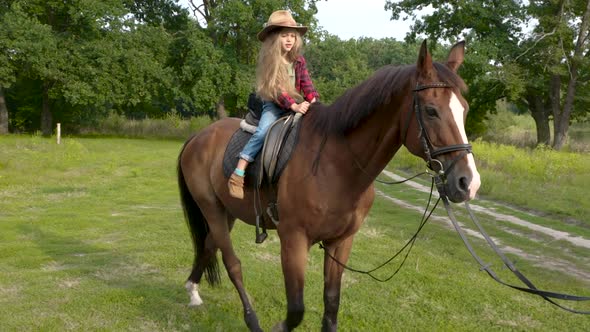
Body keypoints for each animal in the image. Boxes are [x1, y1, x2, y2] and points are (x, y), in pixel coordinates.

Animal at [176, 40, 480, 330]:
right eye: (431, 111)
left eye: (464, 111)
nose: (468, 182)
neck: (337, 164)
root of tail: (198, 137)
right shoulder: (293, 240)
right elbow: (296, 309)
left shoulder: (340, 242)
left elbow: (331, 304)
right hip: (212, 209)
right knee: (232, 263)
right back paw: (250, 319)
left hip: (227, 212)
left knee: (208, 245)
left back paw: (192, 290)